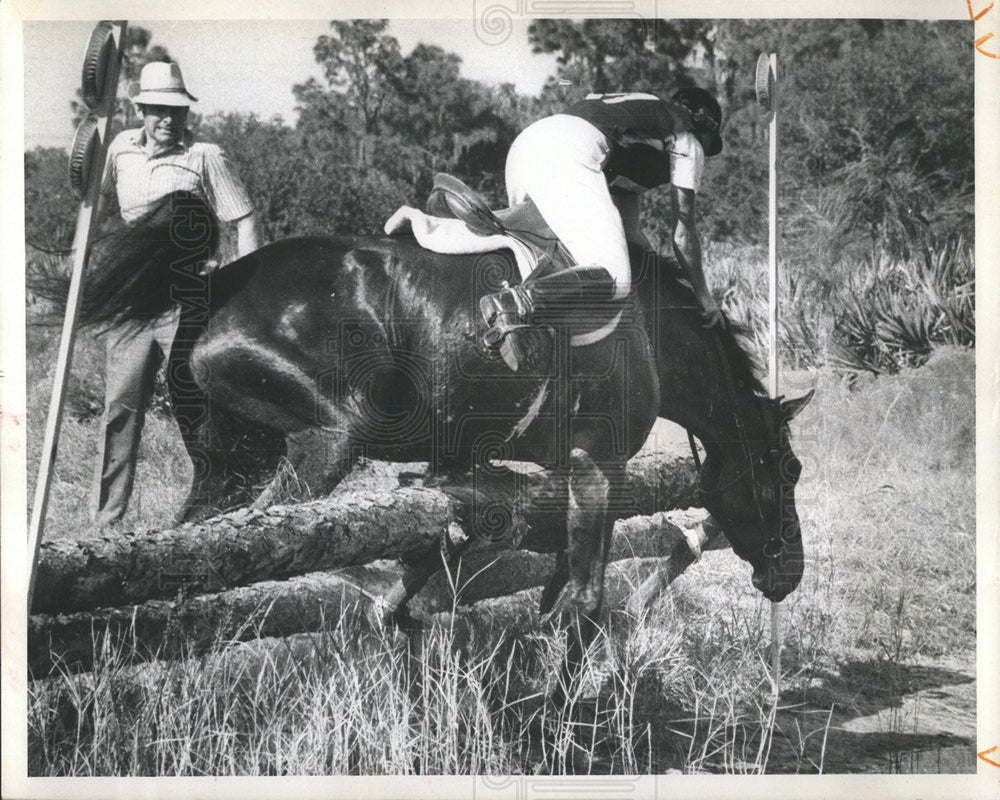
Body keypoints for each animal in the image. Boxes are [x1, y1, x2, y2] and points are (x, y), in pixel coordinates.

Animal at [62, 189, 808, 692]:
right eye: (785, 471)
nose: (789, 572)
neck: (649, 335)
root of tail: (214, 281)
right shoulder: (597, 466)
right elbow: (586, 600)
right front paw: (562, 703)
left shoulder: (467, 465)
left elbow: (452, 559)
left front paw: (411, 623)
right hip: (329, 440)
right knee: (259, 542)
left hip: (231, 464)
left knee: (187, 556)